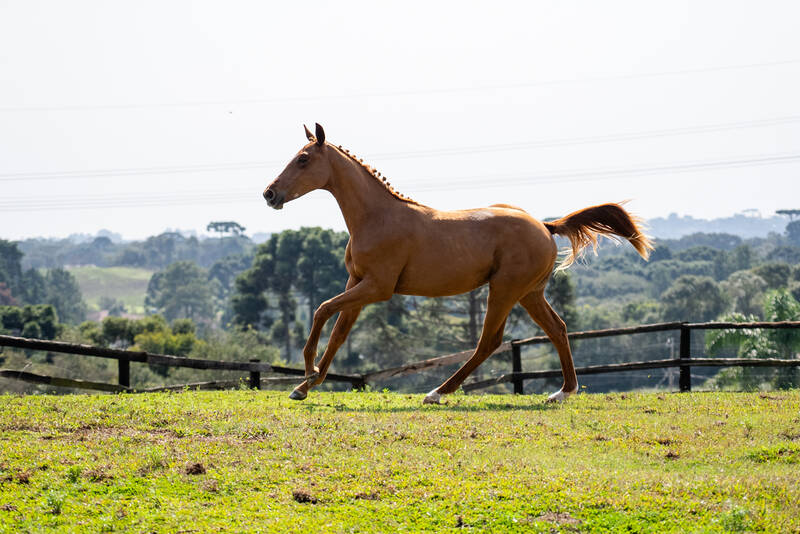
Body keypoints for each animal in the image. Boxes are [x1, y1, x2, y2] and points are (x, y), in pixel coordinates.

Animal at [262, 123, 648, 404]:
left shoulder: (377, 288)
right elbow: (339, 333)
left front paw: (307, 371)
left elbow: (321, 310)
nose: (269, 193)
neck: (377, 217)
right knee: (558, 328)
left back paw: (437, 393)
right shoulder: (356, 284)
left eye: (303, 159)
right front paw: (305, 385)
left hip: (504, 290)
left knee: (489, 341)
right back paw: (562, 393)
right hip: (529, 293)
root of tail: (545, 226)